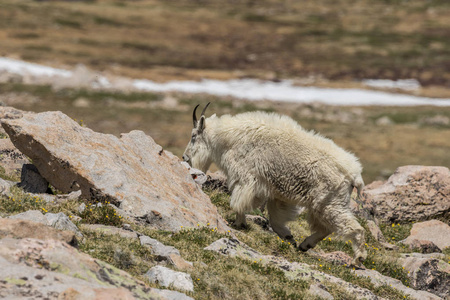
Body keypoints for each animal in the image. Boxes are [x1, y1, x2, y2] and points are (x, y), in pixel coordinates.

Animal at [184, 103, 370, 264]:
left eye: (193, 136)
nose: (185, 158)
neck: (227, 138)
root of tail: (355, 175)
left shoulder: (246, 178)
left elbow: (238, 202)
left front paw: (239, 224)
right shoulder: (276, 193)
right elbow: (276, 218)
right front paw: (288, 237)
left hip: (329, 202)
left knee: (352, 227)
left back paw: (359, 258)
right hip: (324, 204)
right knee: (327, 228)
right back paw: (305, 245)